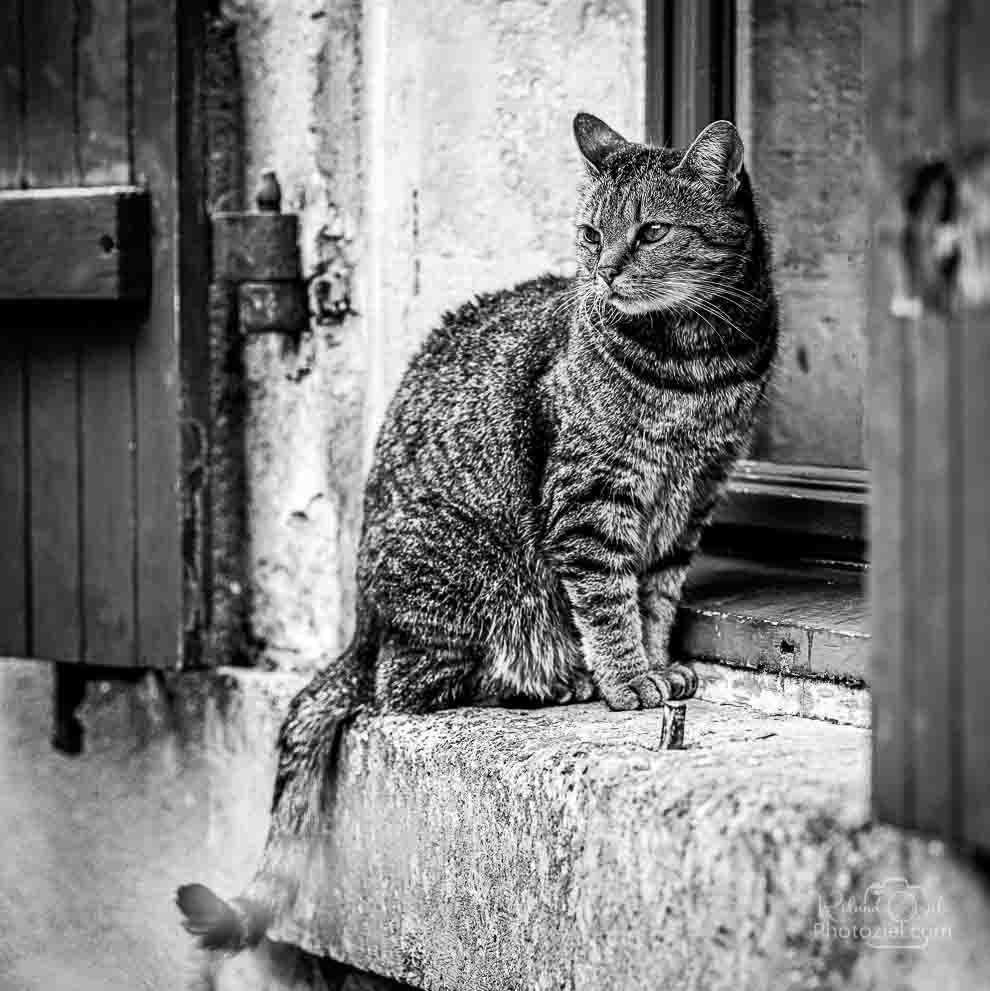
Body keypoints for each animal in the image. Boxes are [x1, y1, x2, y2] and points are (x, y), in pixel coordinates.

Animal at [178, 114, 784, 952]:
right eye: (592, 233)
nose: (604, 272)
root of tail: (360, 627)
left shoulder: (691, 502)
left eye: (653, 231)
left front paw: (660, 663)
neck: (700, 364)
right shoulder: (592, 502)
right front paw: (629, 678)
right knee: (403, 692)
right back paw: (557, 680)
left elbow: (656, 599)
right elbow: (609, 605)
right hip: (473, 589)